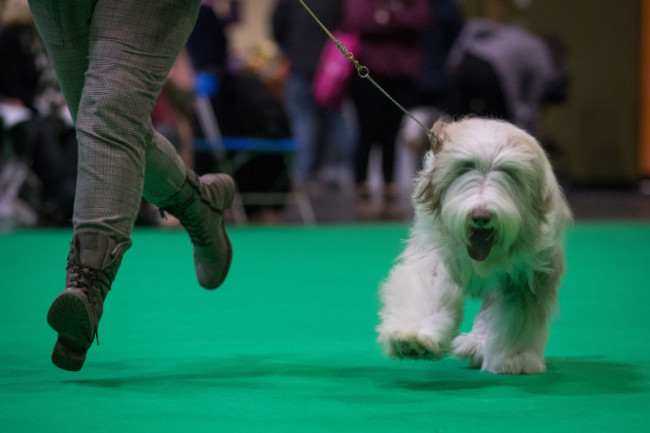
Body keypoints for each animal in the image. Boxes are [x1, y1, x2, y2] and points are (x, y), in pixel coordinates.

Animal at [378, 116, 568, 372]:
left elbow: (516, 319)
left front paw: (514, 358)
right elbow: (429, 289)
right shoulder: (435, 254)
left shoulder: (527, 276)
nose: (481, 215)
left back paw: (477, 344)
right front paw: (414, 337)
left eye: (508, 172)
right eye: (465, 167)